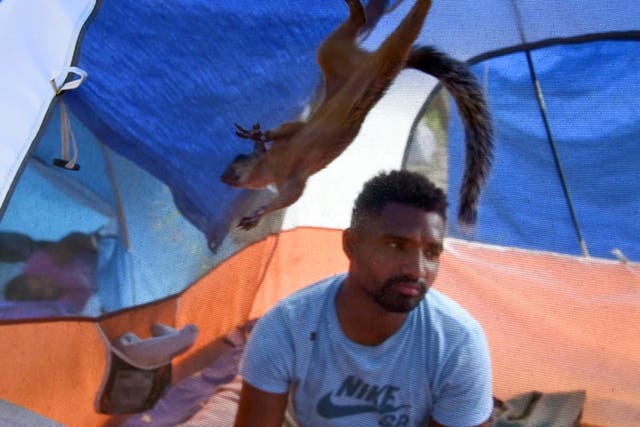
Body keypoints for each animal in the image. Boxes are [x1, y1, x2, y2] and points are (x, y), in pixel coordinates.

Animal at [220, 0, 490, 231]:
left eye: (238, 161)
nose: (223, 178)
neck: (271, 164)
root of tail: (368, 60)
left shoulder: (296, 178)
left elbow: (290, 194)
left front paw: (258, 213)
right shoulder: (288, 145)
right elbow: (290, 129)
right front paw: (257, 135)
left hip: (366, 59)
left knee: (396, 30)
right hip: (339, 60)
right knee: (356, 27)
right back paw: (357, 7)